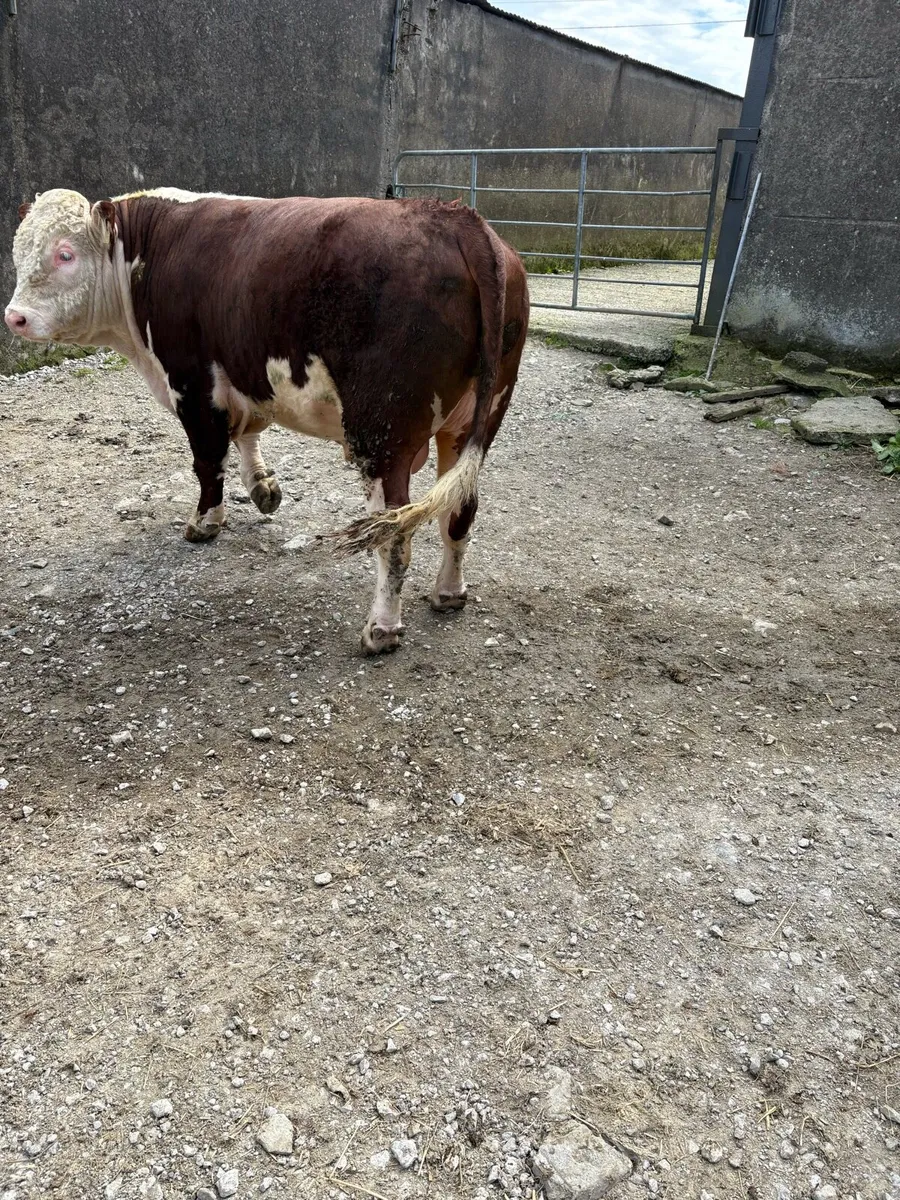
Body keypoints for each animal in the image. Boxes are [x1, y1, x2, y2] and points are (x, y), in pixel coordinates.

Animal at [5, 187, 529, 653]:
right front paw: (263, 487)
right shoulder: (244, 373)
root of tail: (458, 218)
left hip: (383, 432)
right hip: (475, 419)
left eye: (65, 254)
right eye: (17, 252)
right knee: (459, 510)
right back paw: (449, 593)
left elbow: (207, 461)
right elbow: (246, 435)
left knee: (393, 533)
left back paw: (381, 629)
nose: (14, 317)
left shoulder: (192, 383)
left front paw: (205, 522)